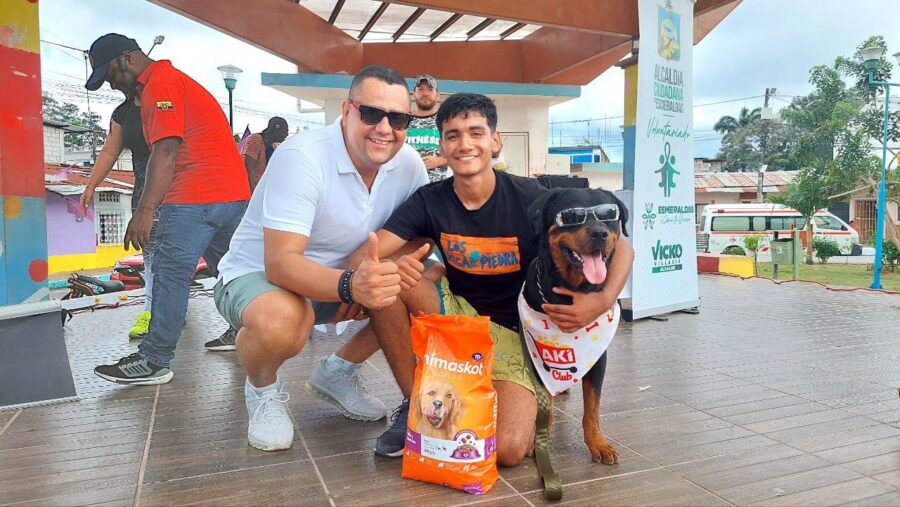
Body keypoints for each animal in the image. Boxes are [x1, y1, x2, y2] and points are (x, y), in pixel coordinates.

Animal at [524, 187, 628, 464]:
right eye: (572, 216)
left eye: (609, 215)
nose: (599, 233)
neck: (571, 292)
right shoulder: (536, 356)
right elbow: (545, 402)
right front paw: (540, 440)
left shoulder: (598, 358)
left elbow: (592, 407)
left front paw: (598, 444)